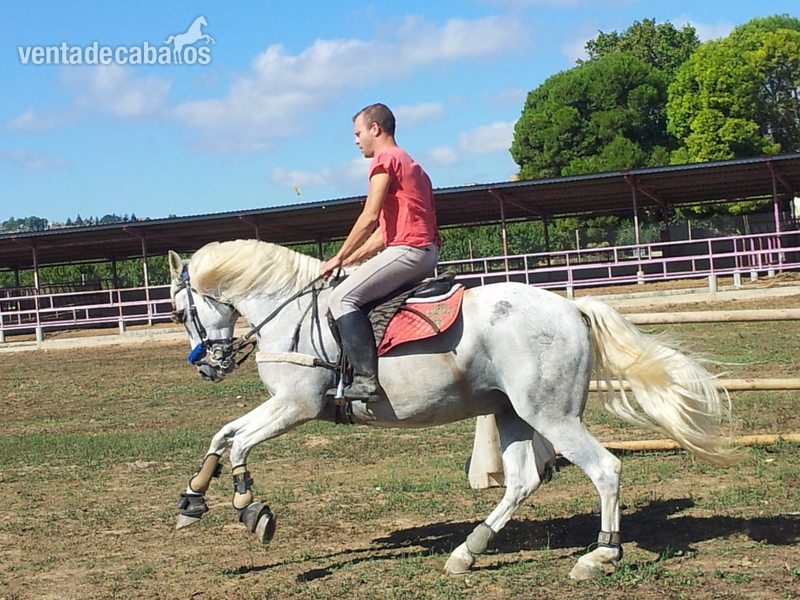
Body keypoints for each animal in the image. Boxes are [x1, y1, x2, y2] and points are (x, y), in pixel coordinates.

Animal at [167, 239, 735, 580]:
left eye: (177, 311)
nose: (208, 367)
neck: (290, 314)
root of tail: (571, 306)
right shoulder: (284, 405)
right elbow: (222, 435)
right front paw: (192, 502)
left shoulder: (296, 405)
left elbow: (239, 443)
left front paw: (251, 510)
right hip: (513, 415)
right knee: (522, 482)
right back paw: (468, 551)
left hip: (552, 417)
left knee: (605, 469)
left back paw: (600, 554)